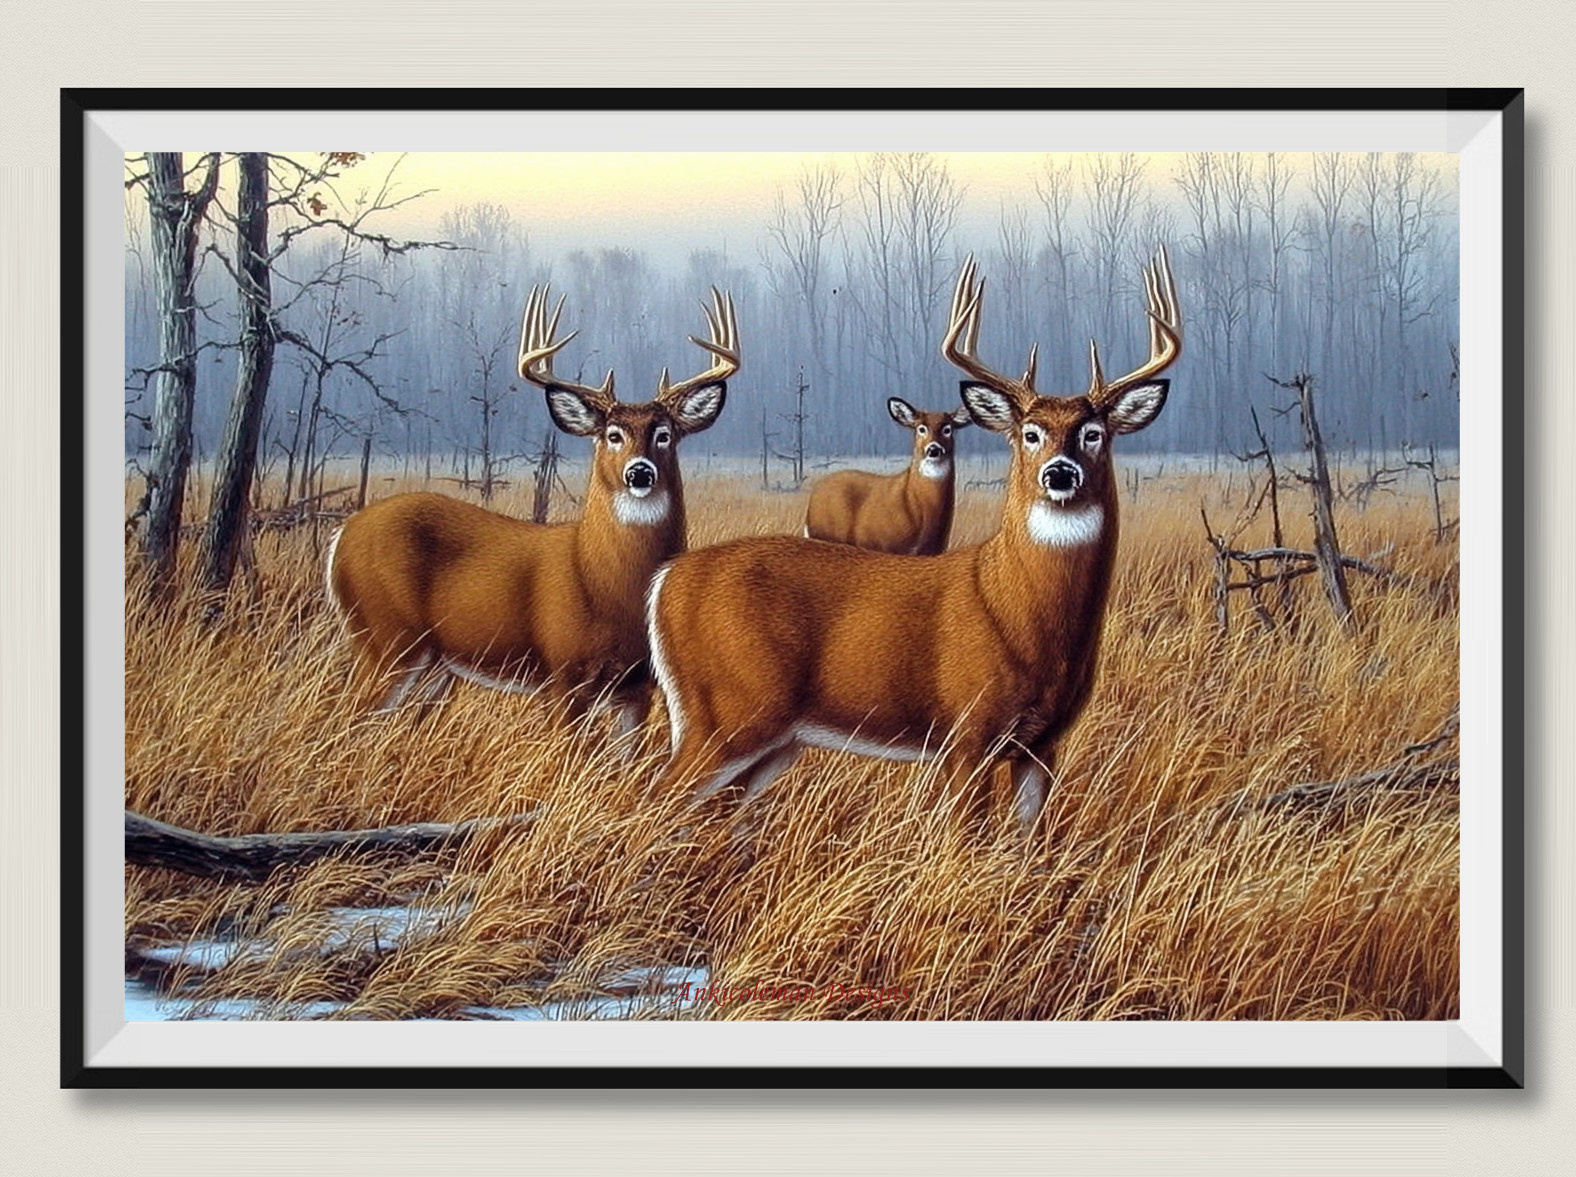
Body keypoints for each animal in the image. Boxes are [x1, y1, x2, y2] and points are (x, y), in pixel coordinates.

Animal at [326, 284, 739, 735]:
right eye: (612, 435)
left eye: (664, 434)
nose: (640, 472)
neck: (608, 586)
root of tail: (342, 534)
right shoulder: (563, 674)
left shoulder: (639, 687)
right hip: (388, 636)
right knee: (349, 714)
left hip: (432, 662)